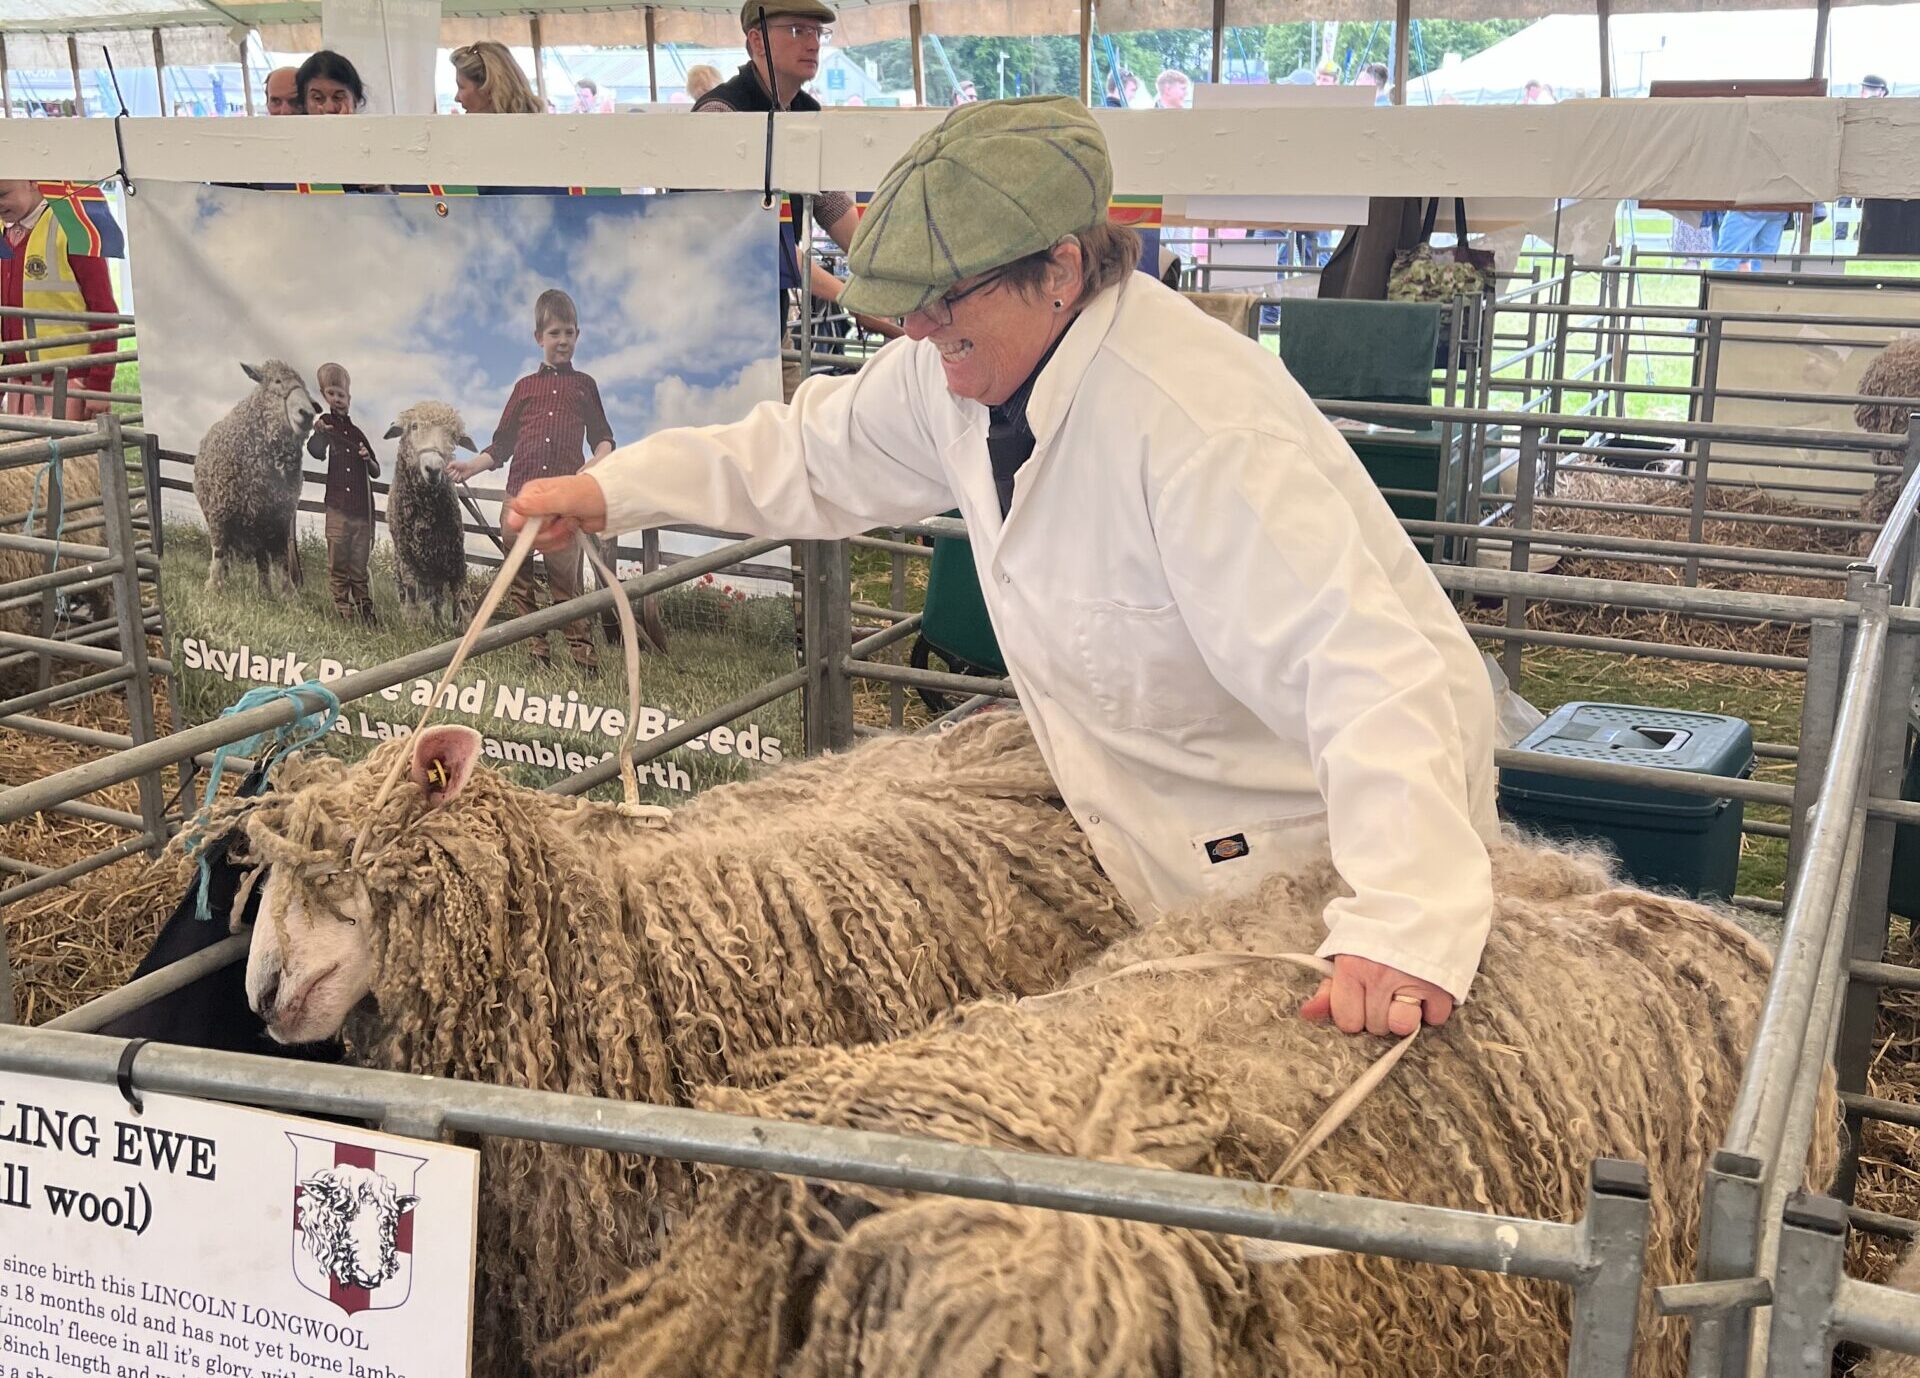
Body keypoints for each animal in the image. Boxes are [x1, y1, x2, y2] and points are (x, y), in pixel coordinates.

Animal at [193, 360, 314, 594]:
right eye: (277, 381)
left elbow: (282, 560)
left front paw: (288, 594)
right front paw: (213, 588)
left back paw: (265, 591)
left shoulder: (280, 519)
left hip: (259, 521)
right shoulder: (220, 511)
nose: (308, 414)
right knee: (227, 554)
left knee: (262, 559)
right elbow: (219, 552)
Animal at [380, 403, 474, 621]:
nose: (433, 468)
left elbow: (464, 602)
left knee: (437, 601)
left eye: (453, 437)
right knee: (406, 594)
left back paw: (438, 622)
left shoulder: (457, 561)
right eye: (414, 426)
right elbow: (412, 593)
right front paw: (411, 623)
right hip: (401, 562)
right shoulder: (408, 561)